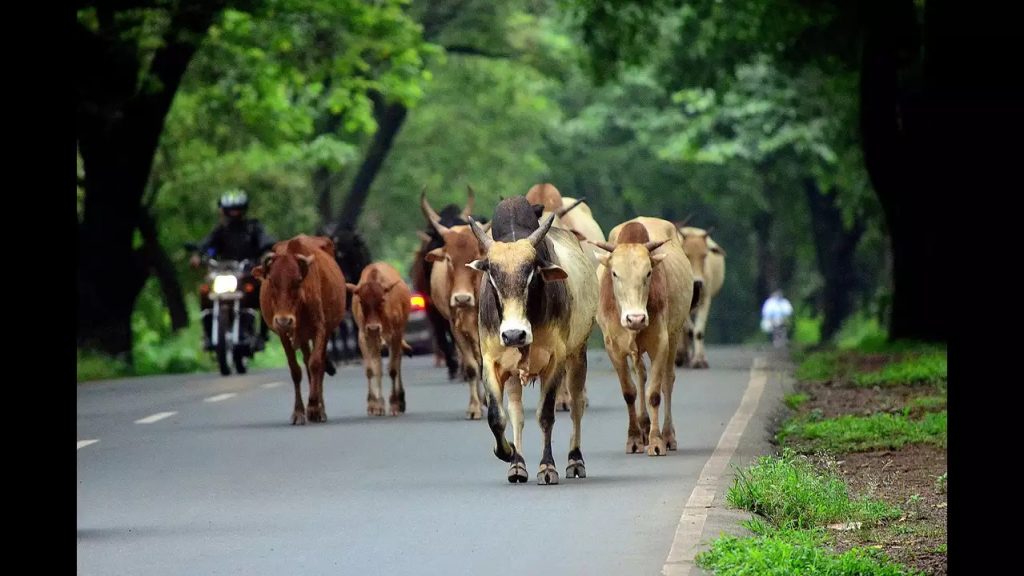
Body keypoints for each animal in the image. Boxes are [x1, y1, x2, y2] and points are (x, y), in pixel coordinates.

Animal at [348, 262, 411, 414]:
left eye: (382, 300)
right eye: (361, 301)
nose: (373, 328)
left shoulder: (395, 335)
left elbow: (393, 369)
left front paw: (394, 403)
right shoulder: (364, 337)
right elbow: (373, 369)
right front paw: (375, 404)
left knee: (398, 363)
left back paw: (400, 400)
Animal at [419, 190, 491, 420]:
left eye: (475, 258)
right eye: (449, 259)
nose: (461, 299)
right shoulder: (454, 327)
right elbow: (471, 367)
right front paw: (474, 407)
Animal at [466, 194, 598, 481]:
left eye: (532, 274)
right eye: (492, 276)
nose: (514, 334)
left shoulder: (555, 360)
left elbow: (546, 415)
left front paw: (547, 467)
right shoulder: (490, 361)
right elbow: (497, 417)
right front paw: (506, 452)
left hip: (578, 355)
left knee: (576, 406)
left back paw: (575, 460)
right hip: (515, 374)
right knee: (516, 412)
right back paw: (517, 464)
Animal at [593, 215, 696, 453]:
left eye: (648, 272)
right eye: (615, 273)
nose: (636, 319)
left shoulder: (661, 343)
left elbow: (655, 394)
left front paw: (656, 441)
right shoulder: (613, 347)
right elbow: (629, 392)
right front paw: (633, 439)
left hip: (674, 336)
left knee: (667, 380)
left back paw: (667, 435)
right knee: (641, 375)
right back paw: (643, 426)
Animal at [675, 224, 724, 366]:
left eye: (704, 255)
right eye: (686, 254)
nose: (697, 281)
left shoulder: (706, 299)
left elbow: (698, 331)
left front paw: (698, 360)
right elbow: (689, 330)